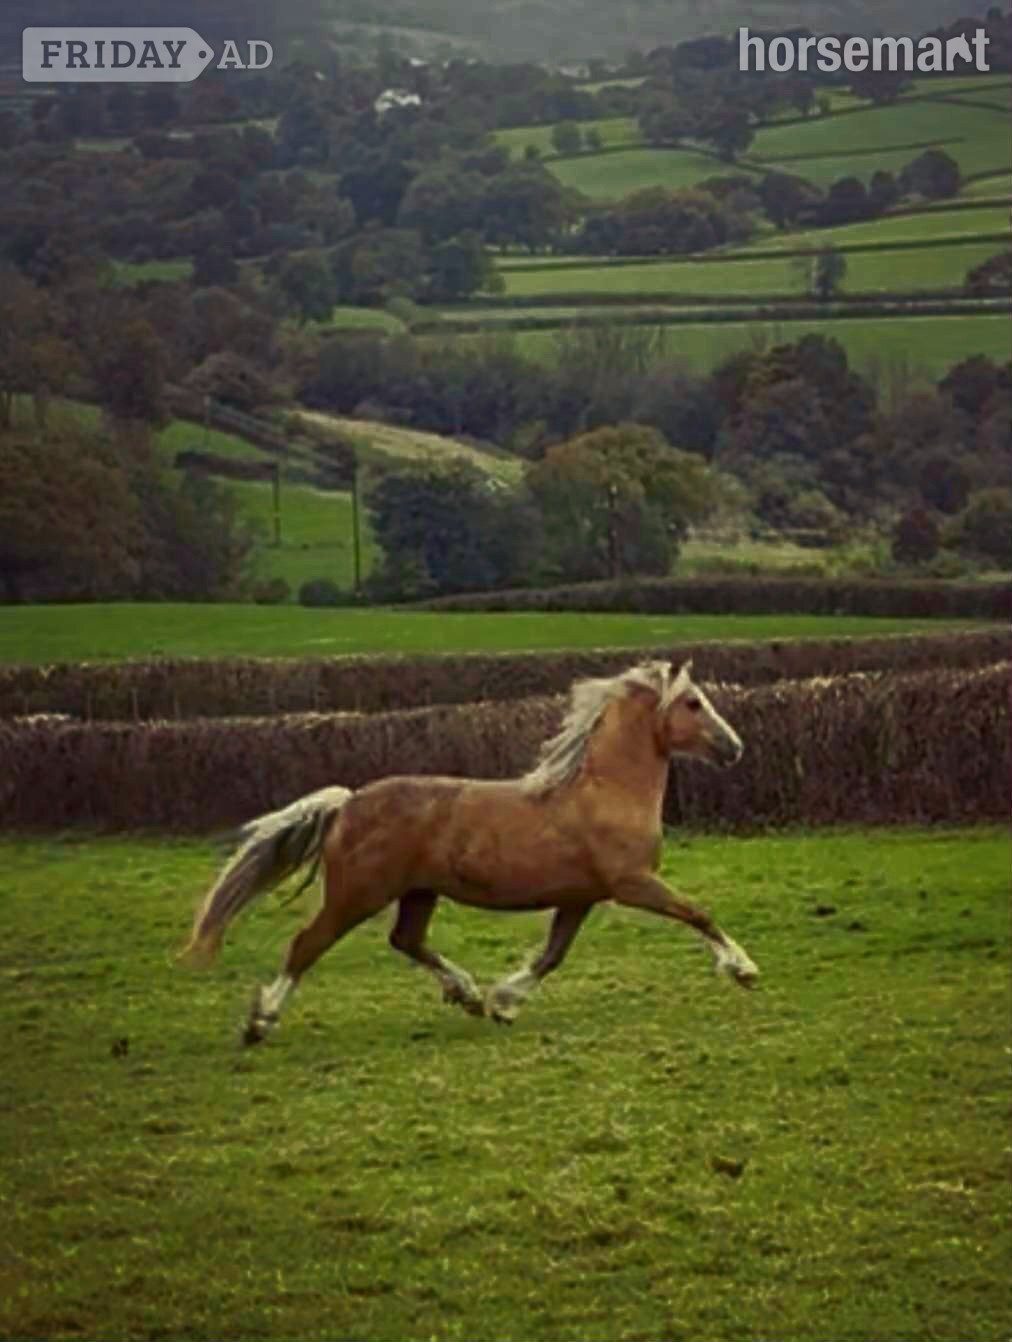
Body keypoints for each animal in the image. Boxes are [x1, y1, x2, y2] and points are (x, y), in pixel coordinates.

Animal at [182, 659, 758, 1045]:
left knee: (406, 939)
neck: (606, 792)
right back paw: (261, 1022)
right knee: (307, 944)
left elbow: (552, 955)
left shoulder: (580, 896)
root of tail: (347, 804)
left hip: (418, 892)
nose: (734, 748)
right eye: (693, 702)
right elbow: (697, 912)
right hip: (358, 895)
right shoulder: (631, 883)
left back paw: (469, 994)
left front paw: (504, 1003)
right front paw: (744, 969)